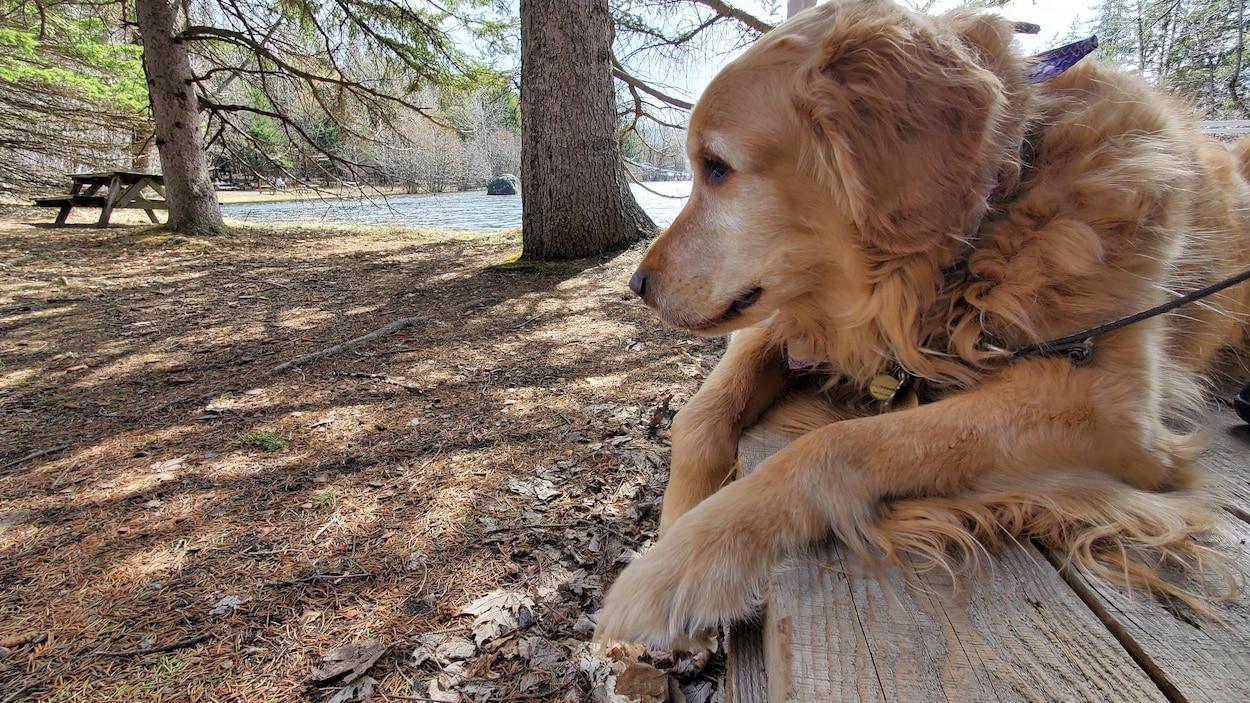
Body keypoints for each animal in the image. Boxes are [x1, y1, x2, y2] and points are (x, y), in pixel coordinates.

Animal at [592, 0, 1250, 645]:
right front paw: (677, 519)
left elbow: (834, 445)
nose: (637, 286)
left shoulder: (1107, 409)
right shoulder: (792, 317)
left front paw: (680, 564)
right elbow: (699, 415)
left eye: (717, 168)